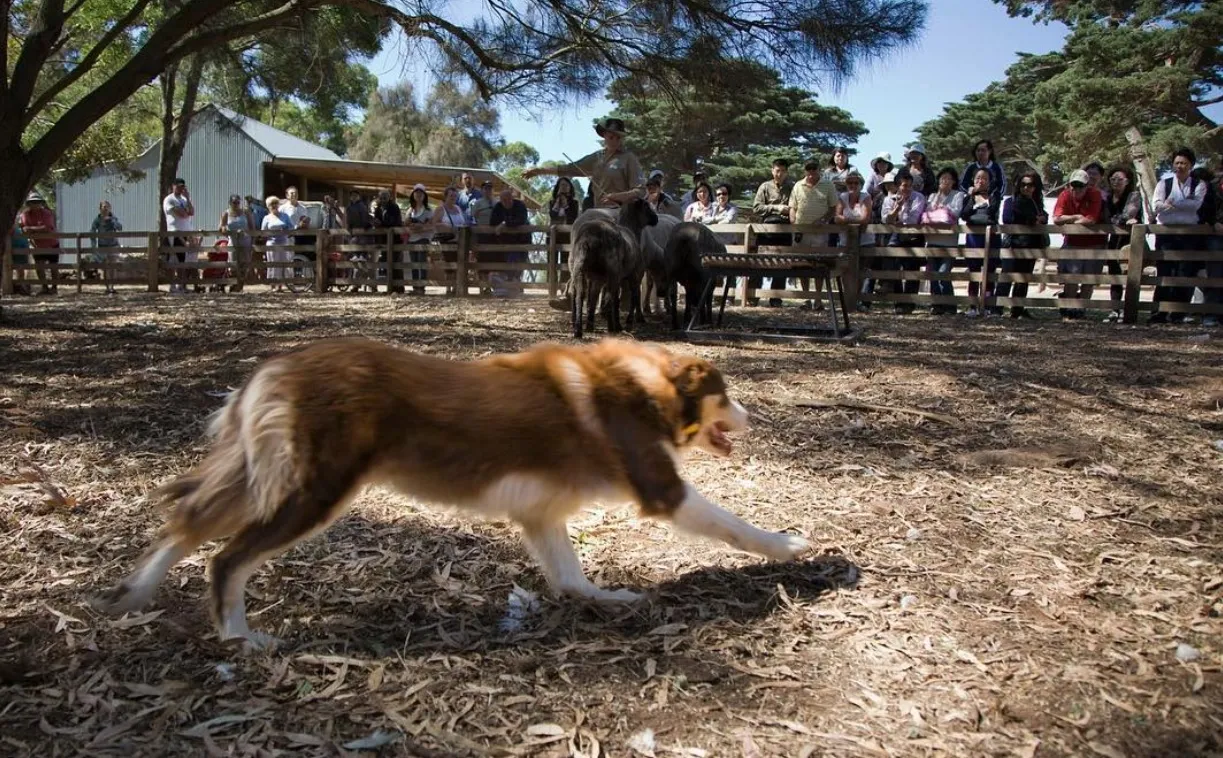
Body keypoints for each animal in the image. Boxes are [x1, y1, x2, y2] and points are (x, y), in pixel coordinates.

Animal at [90, 337, 807, 645]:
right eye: (727, 395)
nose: (754, 419)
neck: (642, 381)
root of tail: (275, 365)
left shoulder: (540, 516)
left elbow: (570, 577)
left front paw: (609, 598)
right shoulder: (662, 489)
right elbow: (734, 525)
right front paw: (791, 546)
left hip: (262, 481)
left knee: (185, 521)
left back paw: (134, 593)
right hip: (313, 494)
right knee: (226, 557)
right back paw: (241, 637)